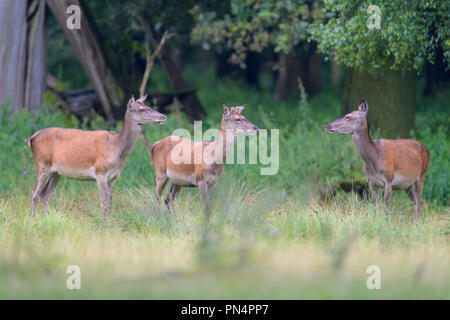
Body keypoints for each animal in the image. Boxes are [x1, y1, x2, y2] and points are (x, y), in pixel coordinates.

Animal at [29, 94, 167, 216]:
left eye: (147, 105)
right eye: (142, 109)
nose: (163, 116)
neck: (116, 149)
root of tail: (31, 138)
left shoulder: (113, 176)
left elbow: (110, 202)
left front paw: (109, 221)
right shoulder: (100, 172)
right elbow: (103, 201)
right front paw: (102, 221)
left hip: (56, 172)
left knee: (45, 196)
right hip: (42, 164)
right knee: (35, 193)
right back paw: (33, 219)